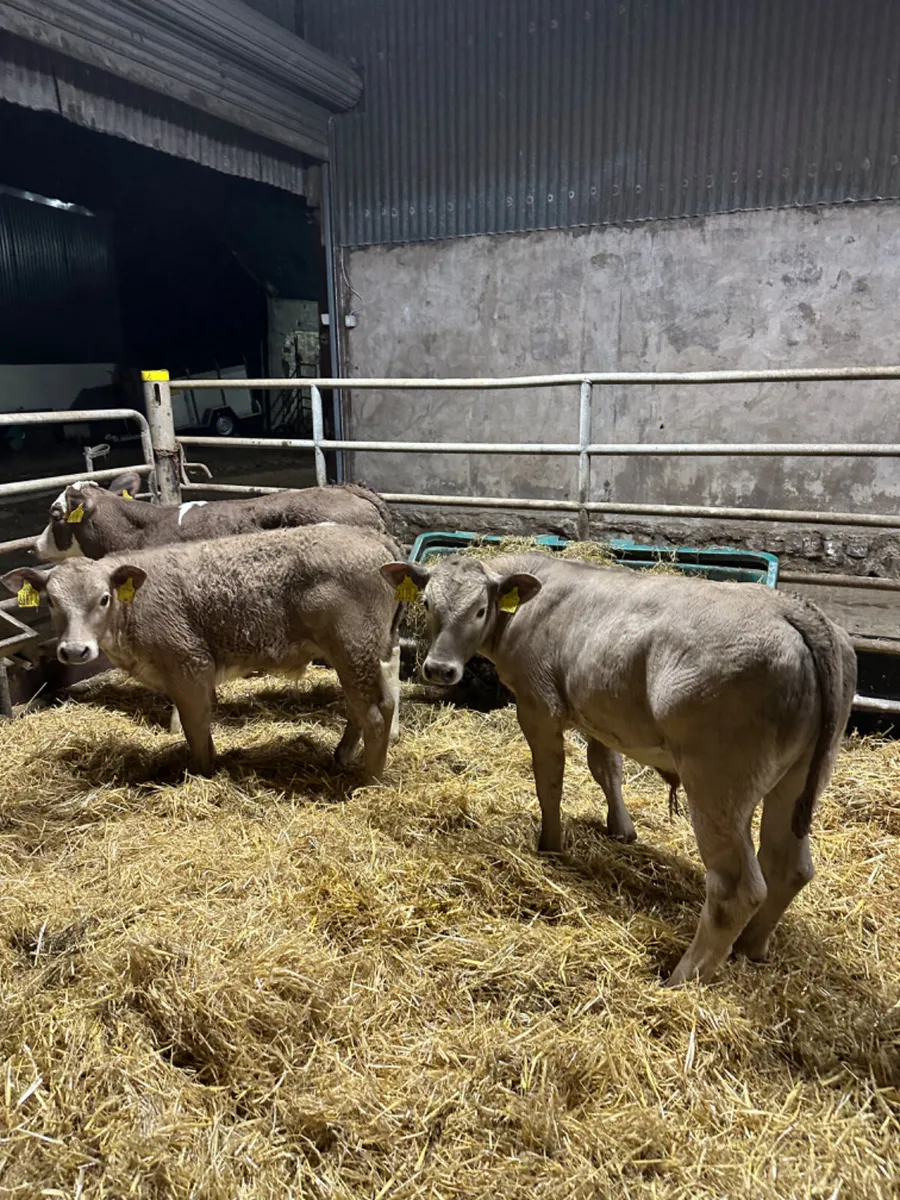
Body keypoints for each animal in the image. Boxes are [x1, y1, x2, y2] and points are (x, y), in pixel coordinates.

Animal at [4, 525, 404, 781]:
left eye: (103, 598)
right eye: (51, 602)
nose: (74, 650)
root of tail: (374, 538)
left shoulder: (189, 664)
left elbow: (194, 725)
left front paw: (200, 772)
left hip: (353, 647)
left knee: (376, 711)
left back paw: (368, 780)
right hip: (360, 652)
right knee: (366, 704)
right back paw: (342, 756)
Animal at [382, 552, 856, 986]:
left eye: (481, 609)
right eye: (427, 602)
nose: (439, 669)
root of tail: (793, 610)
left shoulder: (538, 706)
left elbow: (549, 779)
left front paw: (551, 845)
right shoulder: (601, 714)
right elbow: (606, 767)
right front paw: (621, 829)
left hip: (719, 783)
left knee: (735, 889)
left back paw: (682, 978)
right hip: (798, 779)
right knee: (789, 865)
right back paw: (751, 946)